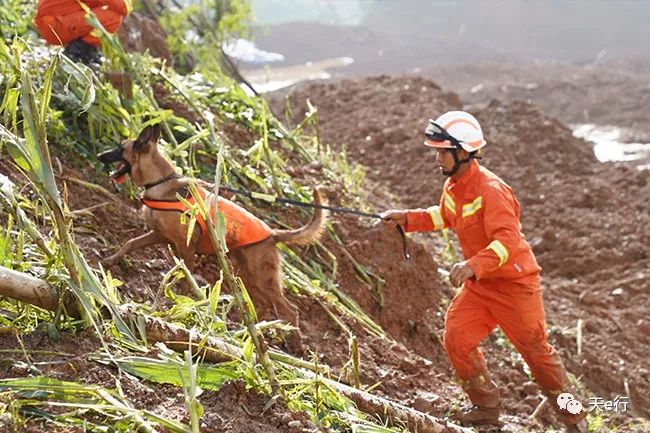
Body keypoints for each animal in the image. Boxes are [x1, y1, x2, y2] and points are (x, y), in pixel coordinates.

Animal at [98, 124, 326, 348]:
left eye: (120, 148)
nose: (100, 155)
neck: (160, 181)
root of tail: (272, 233)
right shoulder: (157, 235)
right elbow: (130, 243)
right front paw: (110, 260)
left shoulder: (186, 248)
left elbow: (185, 277)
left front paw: (184, 302)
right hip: (248, 277)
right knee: (262, 305)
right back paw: (247, 331)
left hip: (263, 280)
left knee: (290, 310)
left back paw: (294, 343)